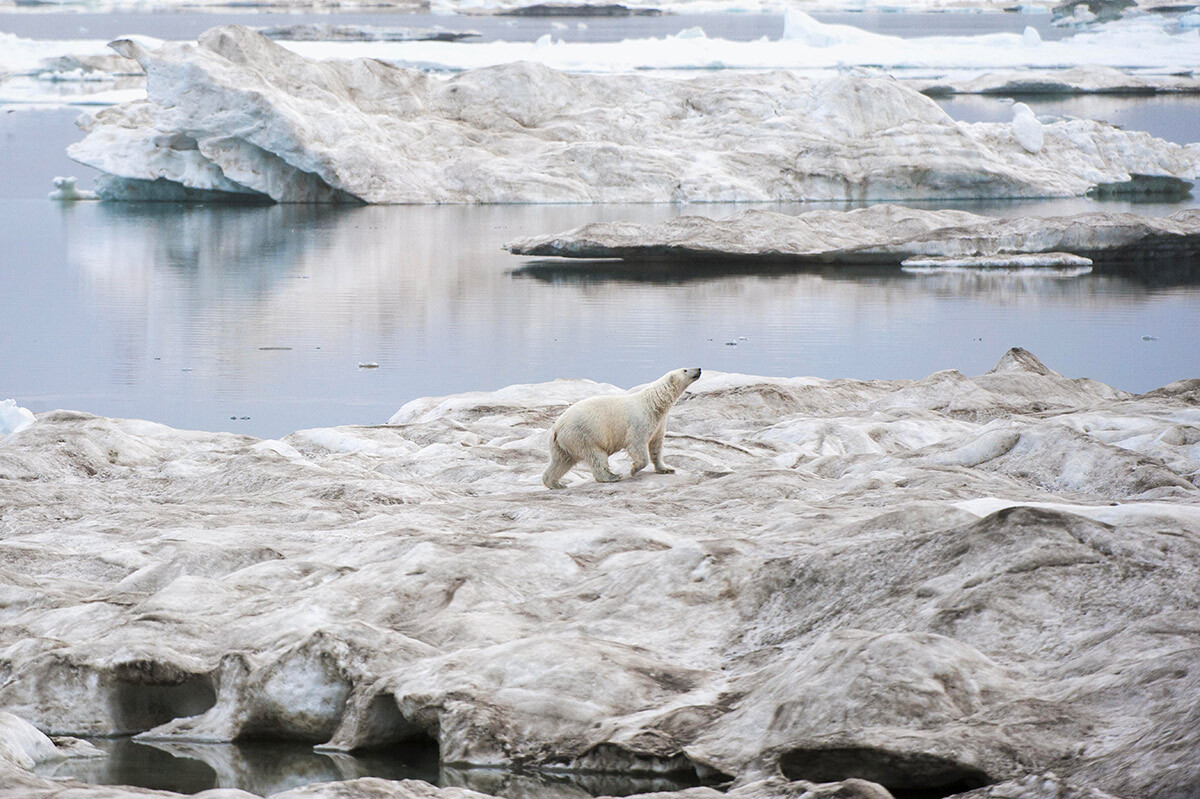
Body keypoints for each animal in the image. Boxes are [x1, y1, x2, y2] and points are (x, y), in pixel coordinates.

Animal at [542, 364, 700, 484]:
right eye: (685, 369)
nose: (699, 369)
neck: (653, 403)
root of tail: (557, 427)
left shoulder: (659, 423)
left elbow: (656, 446)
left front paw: (666, 469)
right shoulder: (639, 420)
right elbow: (637, 444)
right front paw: (634, 470)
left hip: (563, 443)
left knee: (560, 461)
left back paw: (554, 483)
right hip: (583, 434)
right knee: (596, 456)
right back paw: (612, 476)